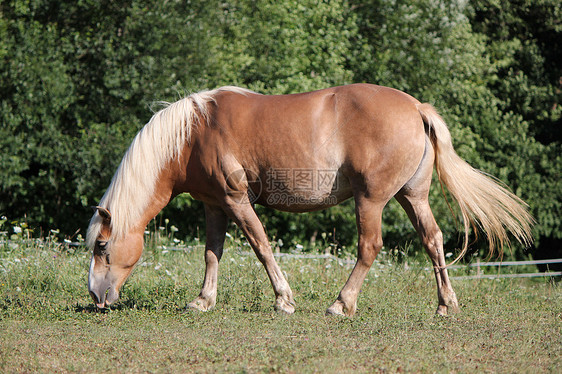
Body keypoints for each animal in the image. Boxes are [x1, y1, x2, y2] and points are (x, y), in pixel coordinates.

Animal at [85, 84, 532, 316]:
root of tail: (416, 107)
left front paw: (284, 299)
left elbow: (262, 246)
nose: (95, 296)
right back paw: (445, 304)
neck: (194, 133)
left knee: (369, 247)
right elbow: (212, 253)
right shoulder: (215, 205)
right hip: (412, 197)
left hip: (371, 200)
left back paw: (341, 304)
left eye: (103, 247)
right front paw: (203, 300)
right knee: (433, 240)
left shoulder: (236, 200)